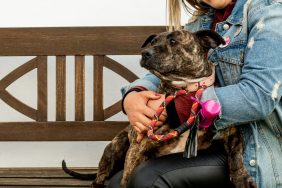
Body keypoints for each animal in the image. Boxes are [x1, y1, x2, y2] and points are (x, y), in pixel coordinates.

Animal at [62, 29, 256, 188]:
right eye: (152, 42)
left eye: (173, 41)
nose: (145, 52)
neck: (184, 92)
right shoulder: (137, 150)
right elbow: (127, 176)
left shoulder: (231, 130)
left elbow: (236, 156)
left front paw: (241, 178)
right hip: (115, 147)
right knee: (101, 174)